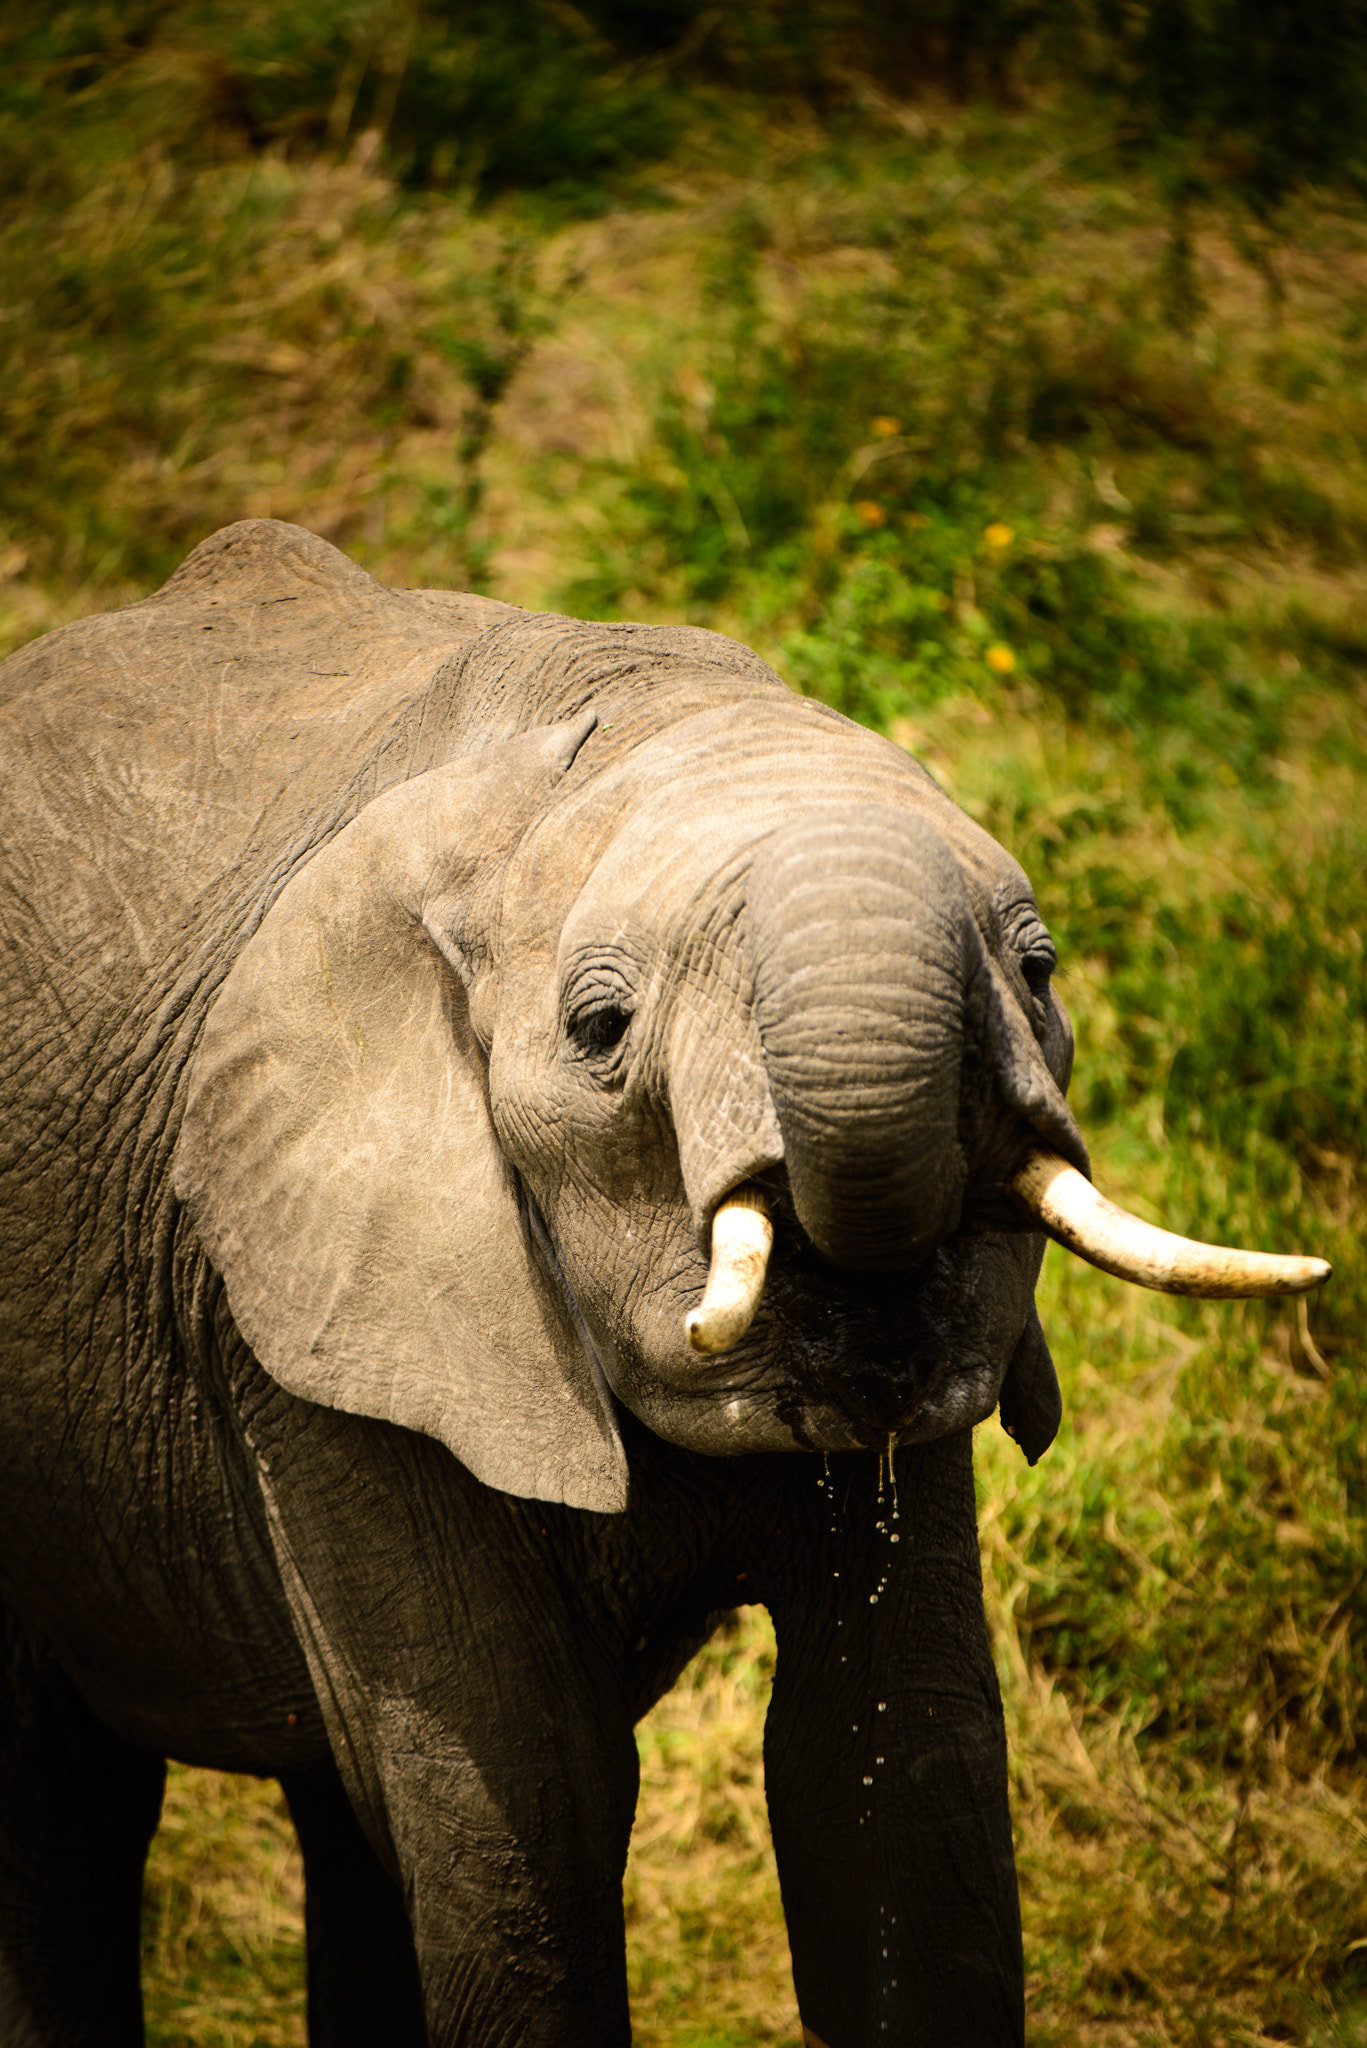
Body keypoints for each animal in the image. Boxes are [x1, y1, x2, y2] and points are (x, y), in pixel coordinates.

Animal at [0, 520, 1328, 2039]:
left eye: (1036, 971)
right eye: (599, 1027)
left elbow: (894, 1764)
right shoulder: (294, 1317)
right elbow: (527, 1793)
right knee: (66, 1808)